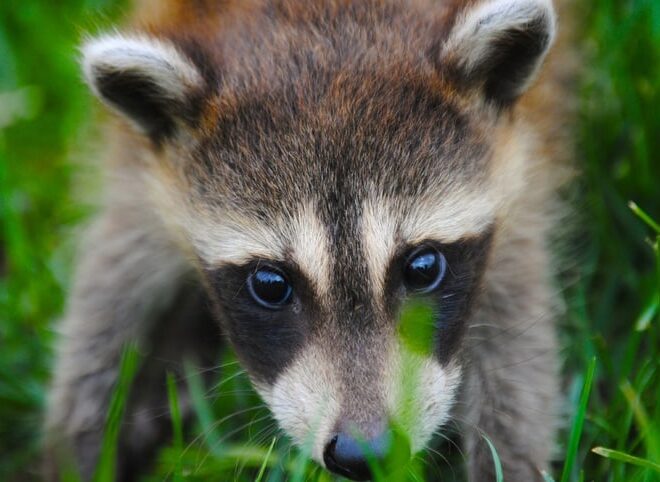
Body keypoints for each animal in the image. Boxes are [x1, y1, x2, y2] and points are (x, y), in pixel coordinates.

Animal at [46, 0, 576, 480]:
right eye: (271, 285)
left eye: (422, 268)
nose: (366, 454)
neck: (319, 22)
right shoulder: (142, 173)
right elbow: (108, 296)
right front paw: (82, 451)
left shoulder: (518, 171)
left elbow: (516, 345)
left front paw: (508, 460)